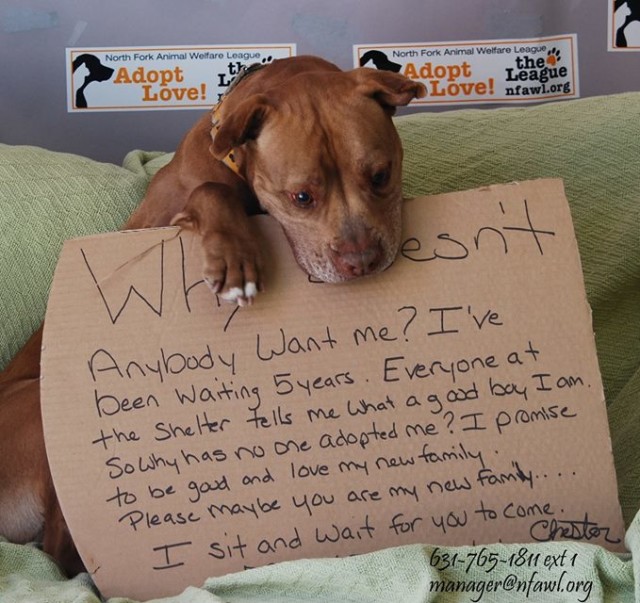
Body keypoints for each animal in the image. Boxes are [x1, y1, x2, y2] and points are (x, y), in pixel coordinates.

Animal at [0, 56, 424, 576]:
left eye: (381, 175)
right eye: (301, 197)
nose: (361, 260)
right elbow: (208, 192)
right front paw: (235, 256)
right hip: (39, 411)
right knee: (62, 551)